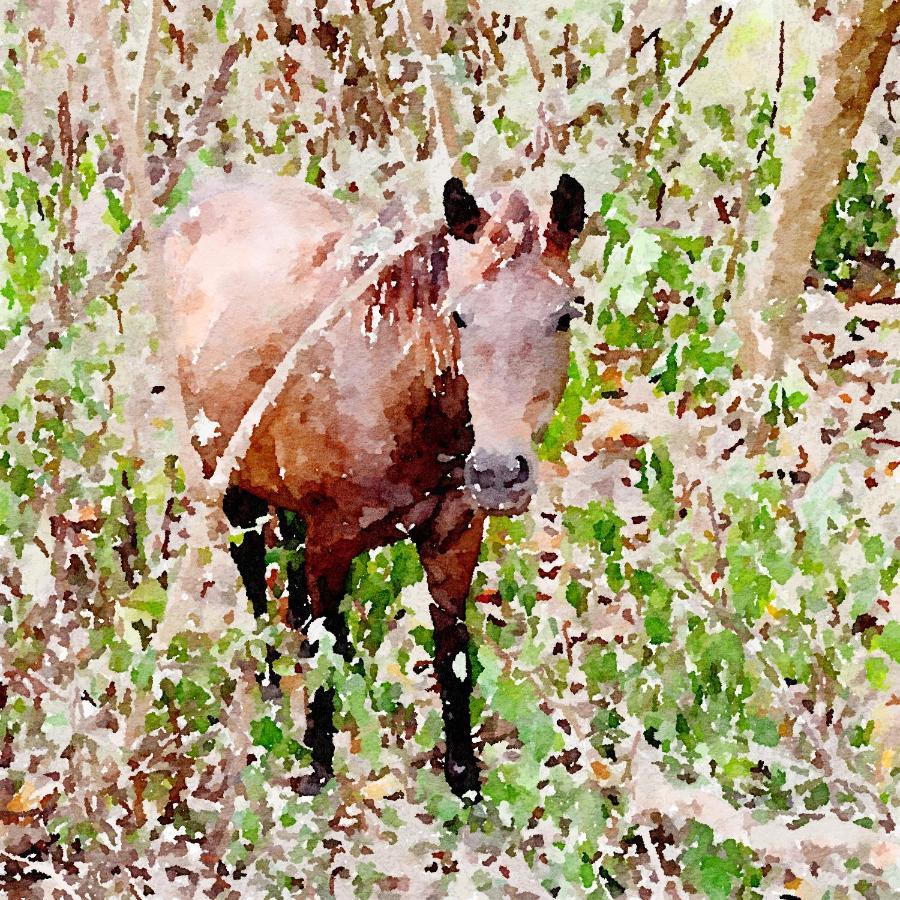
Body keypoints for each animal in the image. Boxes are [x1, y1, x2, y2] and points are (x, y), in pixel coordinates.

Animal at [165, 172, 588, 800]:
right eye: (461, 317)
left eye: (563, 316)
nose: (496, 473)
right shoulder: (332, 540)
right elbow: (322, 651)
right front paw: (318, 771)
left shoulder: (453, 535)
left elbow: (451, 659)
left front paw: (465, 783)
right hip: (233, 484)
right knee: (256, 575)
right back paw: (271, 687)